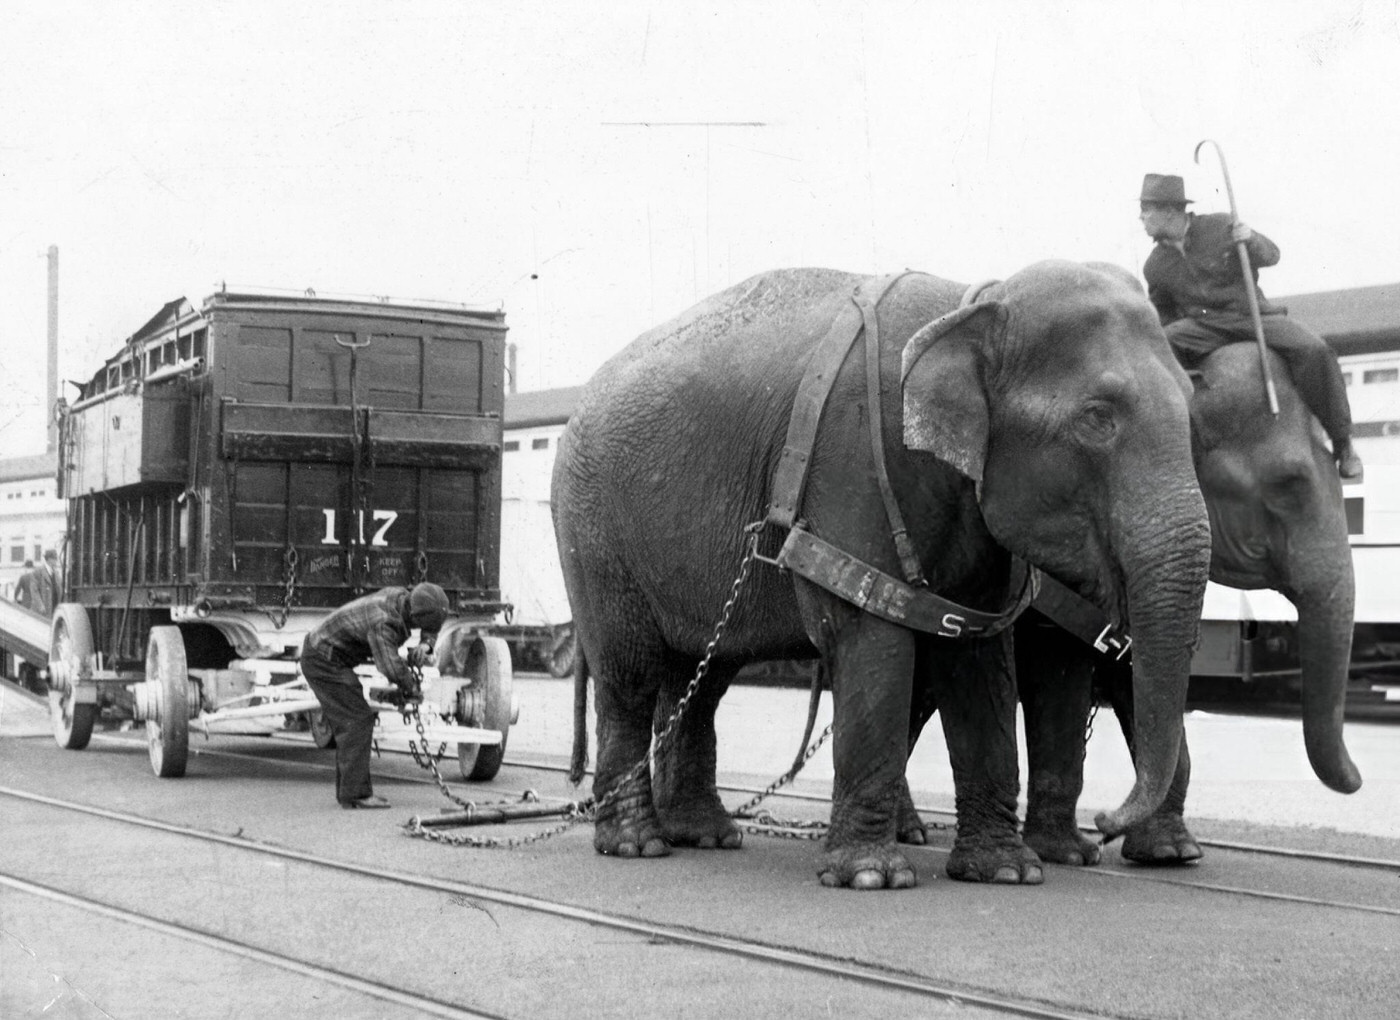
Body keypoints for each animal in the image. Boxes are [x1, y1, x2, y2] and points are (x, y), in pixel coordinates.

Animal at [552, 262, 1212, 890]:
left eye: (1192, 407)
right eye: (1098, 417)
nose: (1105, 824)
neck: (971, 301)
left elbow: (978, 655)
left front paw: (1007, 871)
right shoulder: (852, 460)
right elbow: (873, 639)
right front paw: (871, 876)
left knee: (704, 676)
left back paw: (706, 835)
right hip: (594, 535)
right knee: (632, 674)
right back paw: (636, 843)